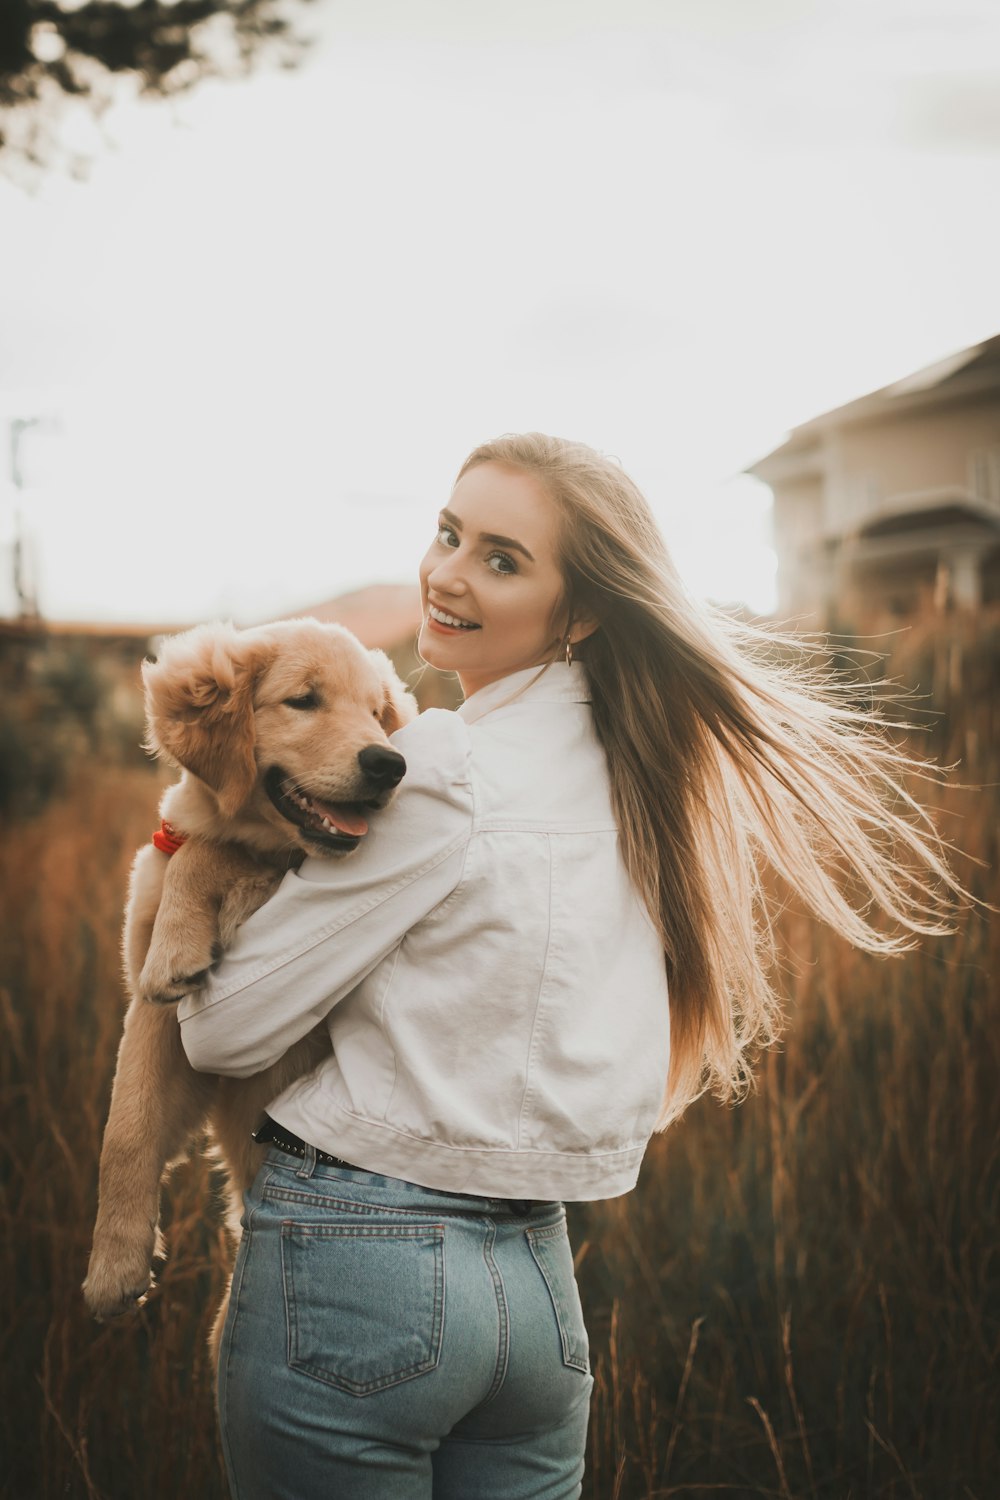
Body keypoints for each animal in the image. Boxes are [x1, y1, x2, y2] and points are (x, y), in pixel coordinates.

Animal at [83, 621, 413, 1326]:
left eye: (377, 714)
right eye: (304, 700)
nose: (390, 764)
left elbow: (215, 851)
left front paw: (177, 939)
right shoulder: (158, 1020)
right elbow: (125, 1128)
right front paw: (114, 1268)